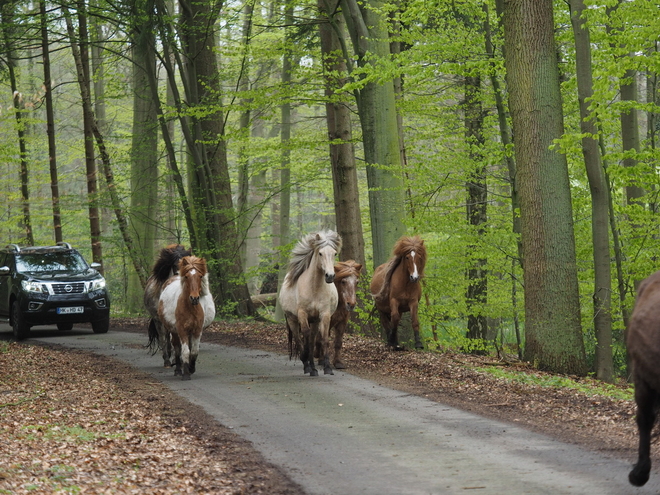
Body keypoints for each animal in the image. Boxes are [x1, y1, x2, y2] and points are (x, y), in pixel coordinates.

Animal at [278, 231, 340, 378]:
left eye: (334, 253)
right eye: (320, 253)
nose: (330, 276)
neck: (314, 288)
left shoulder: (324, 315)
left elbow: (323, 339)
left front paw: (327, 367)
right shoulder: (302, 314)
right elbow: (304, 336)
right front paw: (305, 358)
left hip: (315, 321)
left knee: (311, 341)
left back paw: (313, 368)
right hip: (293, 320)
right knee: (300, 339)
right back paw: (307, 366)